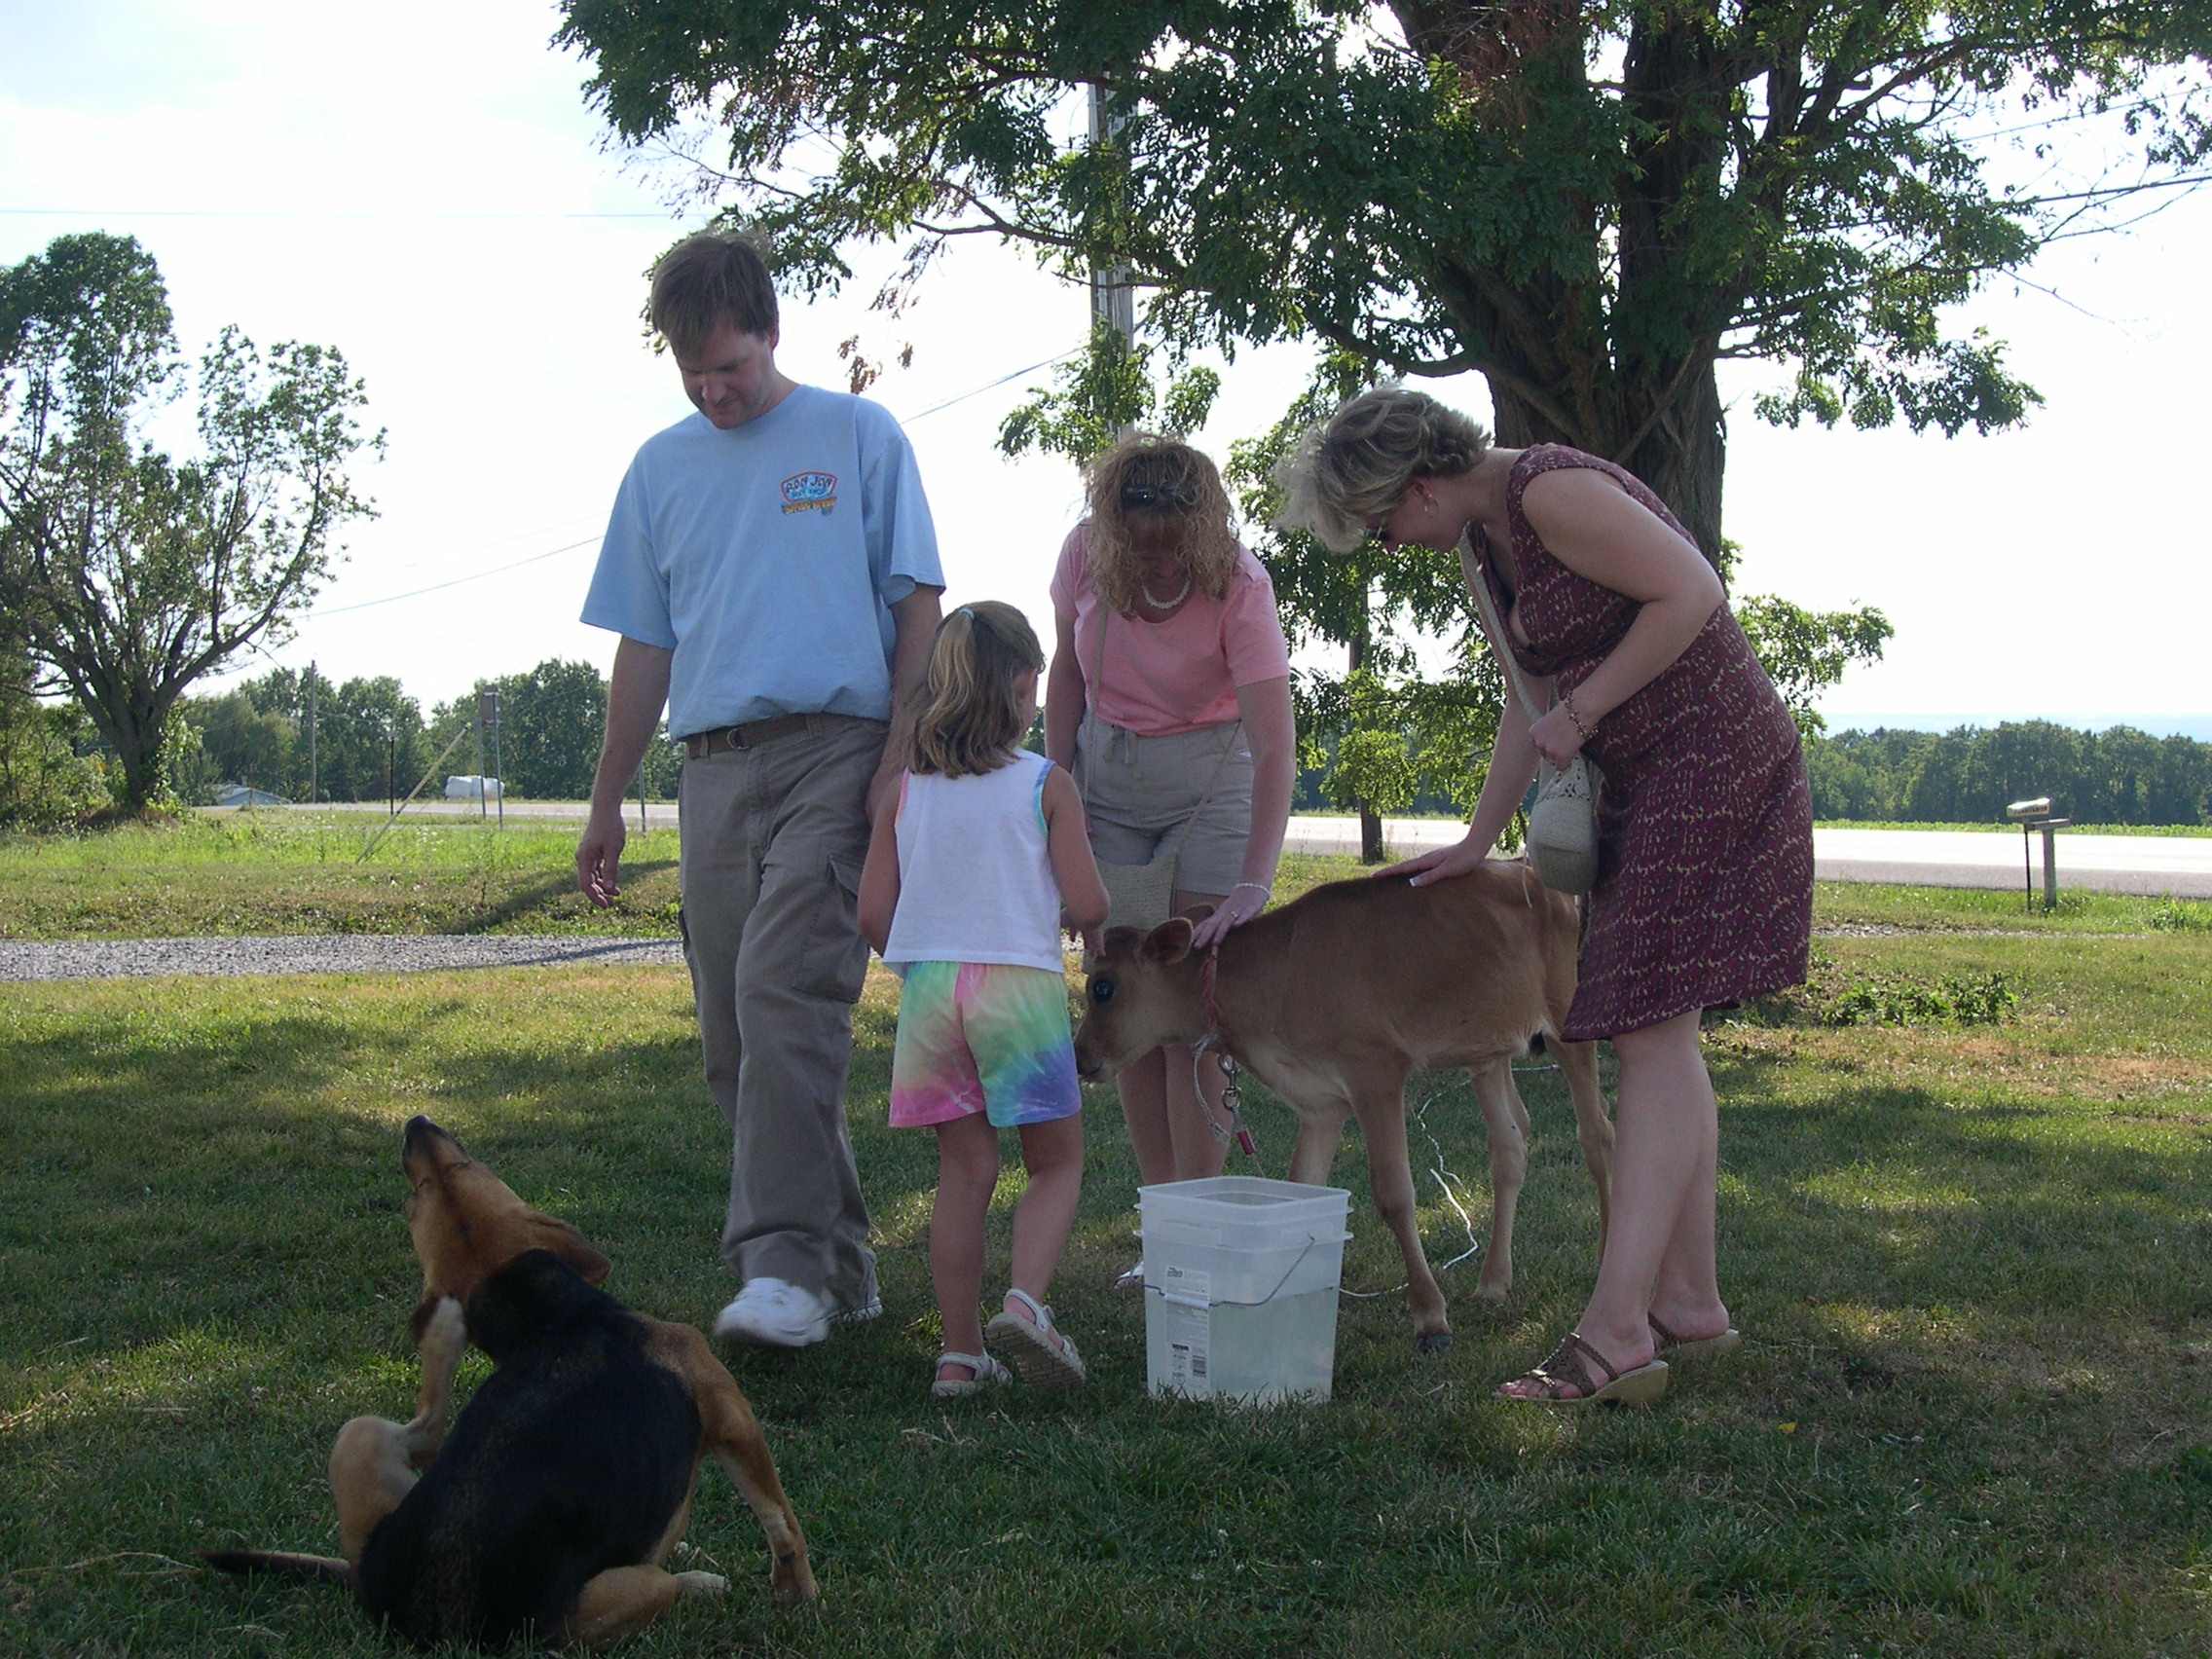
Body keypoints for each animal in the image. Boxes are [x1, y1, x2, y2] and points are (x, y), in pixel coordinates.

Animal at [199, 1119, 814, 1654]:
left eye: (447, 1174)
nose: (417, 1123)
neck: (547, 1316)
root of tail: (428, 1618)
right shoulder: (731, 1415)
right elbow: (781, 1520)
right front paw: (799, 1594)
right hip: (615, 1600)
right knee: (665, 1583)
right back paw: (698, 1580)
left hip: (357, 1438)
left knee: (422, 1435)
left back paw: (443, 1335)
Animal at [1070, 863, 1610, 1353]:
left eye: (1103, 987)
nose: (1079, 1058)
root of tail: (1532, 873)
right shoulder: (1319, 1104)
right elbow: (1300, 1191)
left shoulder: (1376, 1071)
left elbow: (1394, 1193)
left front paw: (1430, 1317)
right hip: (1487, 1049)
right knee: (1510, 1145)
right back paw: (1494, 1280)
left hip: (1566, 1015)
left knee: (1598, 1135)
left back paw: (1604, 1257)